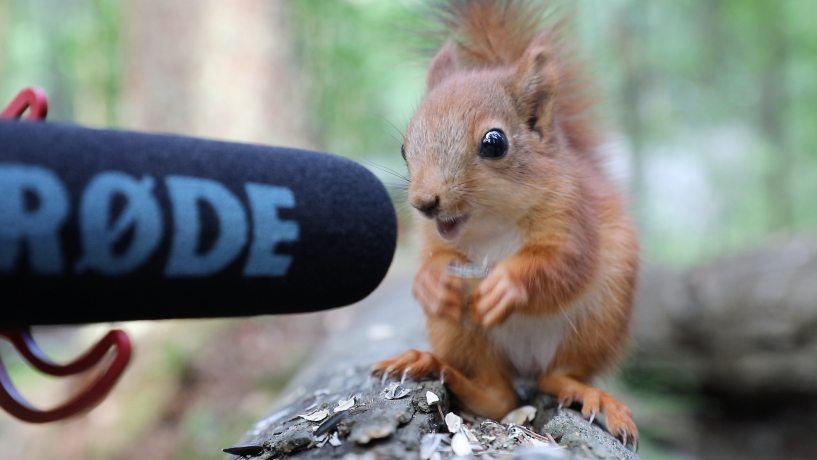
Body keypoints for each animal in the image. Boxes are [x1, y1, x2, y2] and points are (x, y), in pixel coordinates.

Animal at [372, 0, 640, 448]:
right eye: (405, 148)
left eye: (494, 143)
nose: (424, 203)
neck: (491, 224)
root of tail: (525, 364)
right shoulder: (437, 239)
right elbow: (433, 258)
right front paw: (431, 281)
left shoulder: (574, 218)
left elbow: (565, 265)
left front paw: (506, 286)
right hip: (459, 332)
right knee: (497, 395)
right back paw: (430, 364)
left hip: (598, 321)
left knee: (558, 375)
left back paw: (589, 394)